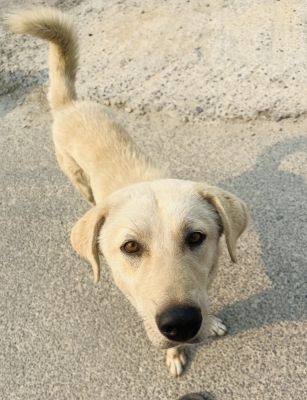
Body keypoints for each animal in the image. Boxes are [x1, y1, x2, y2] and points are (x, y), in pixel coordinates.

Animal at [7, 8, 250, 378]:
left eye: (196, 237)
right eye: (130, 247)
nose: (181, 324)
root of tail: (70, 104)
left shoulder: (206, 274)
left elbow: (204, 293)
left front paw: (209, 323)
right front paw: (175, 353)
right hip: (76, 177)